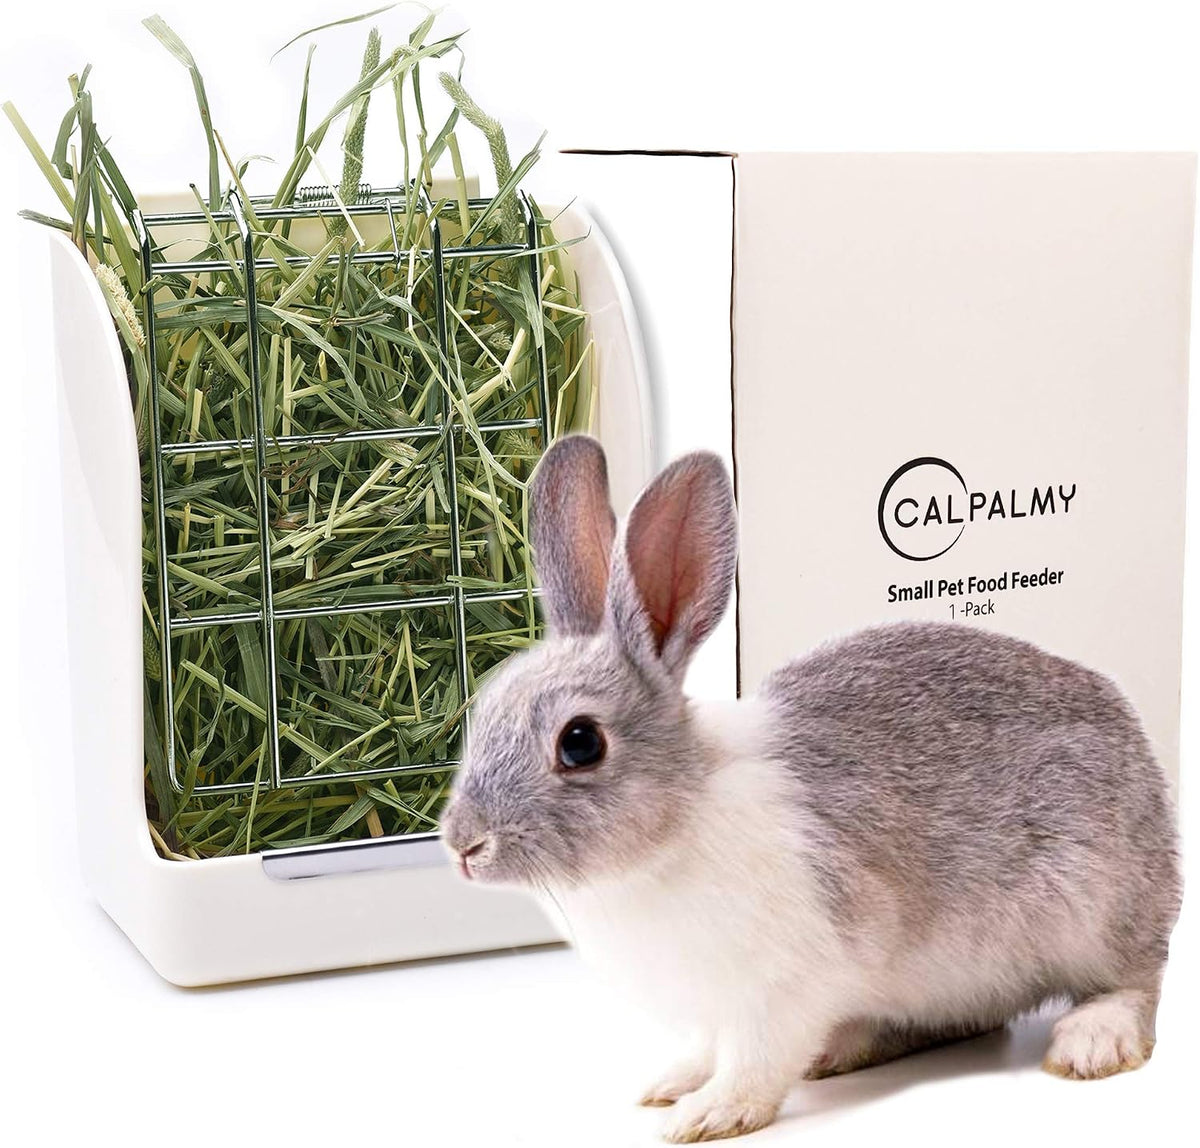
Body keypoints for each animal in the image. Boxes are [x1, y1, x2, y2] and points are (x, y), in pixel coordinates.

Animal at [441, 435, 1182, 1143]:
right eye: (485, 707)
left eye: (580, 743)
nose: (461, 845)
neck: (676, 823)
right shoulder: (718, 1008)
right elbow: (708, 1049)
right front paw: (672, 1083)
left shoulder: (781, 989)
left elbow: (755, 1064)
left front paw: (706, 1116)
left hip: (1094, 910)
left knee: (1138, 982)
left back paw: (1091, 1042)